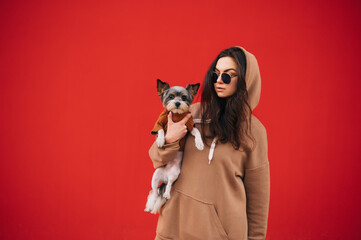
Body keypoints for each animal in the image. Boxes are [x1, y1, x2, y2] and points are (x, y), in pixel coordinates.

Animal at [145, 79, 204, 214]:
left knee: (169, 185)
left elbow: (197, 132)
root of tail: (165, 176)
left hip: (174, 173)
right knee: (155, 192)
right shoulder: (160, 122)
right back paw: (150, 206)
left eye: (184, 98)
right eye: (171, 97)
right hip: (155, 177)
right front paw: (161, 140)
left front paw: (200, 144)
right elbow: (161, 130)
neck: (177, 115)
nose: (177, 103)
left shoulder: (190, 126)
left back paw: (167, 194)